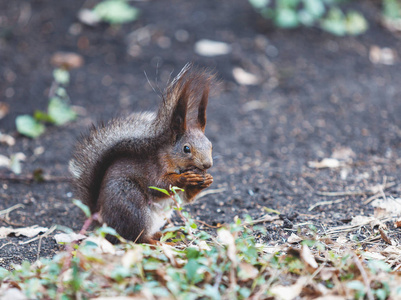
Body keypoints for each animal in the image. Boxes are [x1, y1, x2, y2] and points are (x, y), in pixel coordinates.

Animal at [69, 65, 212, 244]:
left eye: (210, 145)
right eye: (186, 149)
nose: (208, 164)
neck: (171, 158)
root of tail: (102, 221)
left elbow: (187, 198)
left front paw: (207, 180)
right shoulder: (154, 167)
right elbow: (158, 185)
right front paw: (184, 178)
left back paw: (166, 234)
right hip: (132, 204)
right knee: (135, 238)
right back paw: (154, 242)